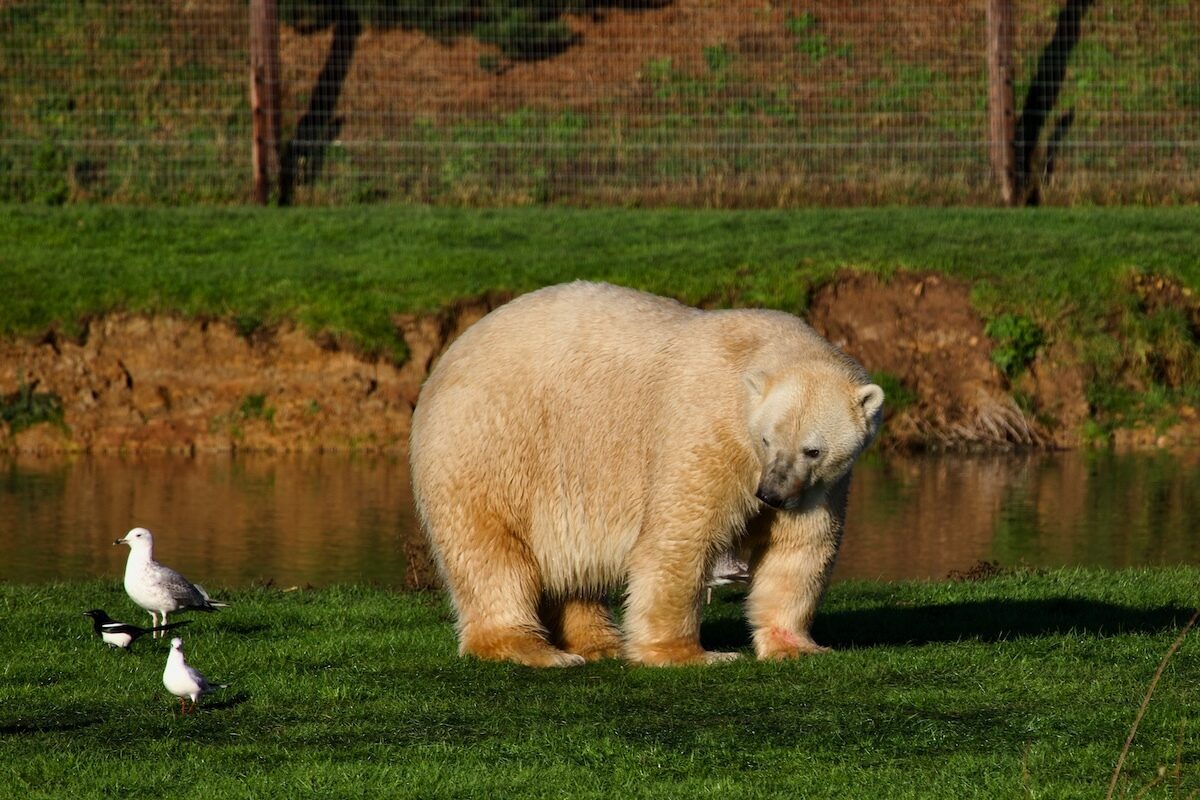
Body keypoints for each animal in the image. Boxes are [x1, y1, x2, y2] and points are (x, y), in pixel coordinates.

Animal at [409, 281, 883, 667]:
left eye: (813, 449)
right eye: (767, 440)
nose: (770, 494)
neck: (752, 353)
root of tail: (443, 364)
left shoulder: (821, 483)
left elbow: (801, 544)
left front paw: (797, 646)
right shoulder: (707, 430)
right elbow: (682, 535)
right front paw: (691, 654)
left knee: (571, 569)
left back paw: (600, 644)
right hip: (490, 443)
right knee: (491, 553)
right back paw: (533, 649)